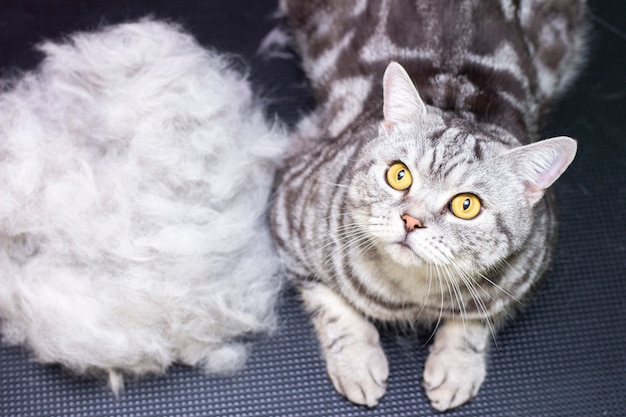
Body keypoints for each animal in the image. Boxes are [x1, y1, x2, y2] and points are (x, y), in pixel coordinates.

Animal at [270, 0, 584, 410]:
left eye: (466, 205)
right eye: (399, 175)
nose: (410, 220)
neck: (411, 294)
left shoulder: (530, 272)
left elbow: (477, 319)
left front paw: (457, 366)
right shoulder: (287, 214)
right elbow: (333, 305)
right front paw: (357, 362)